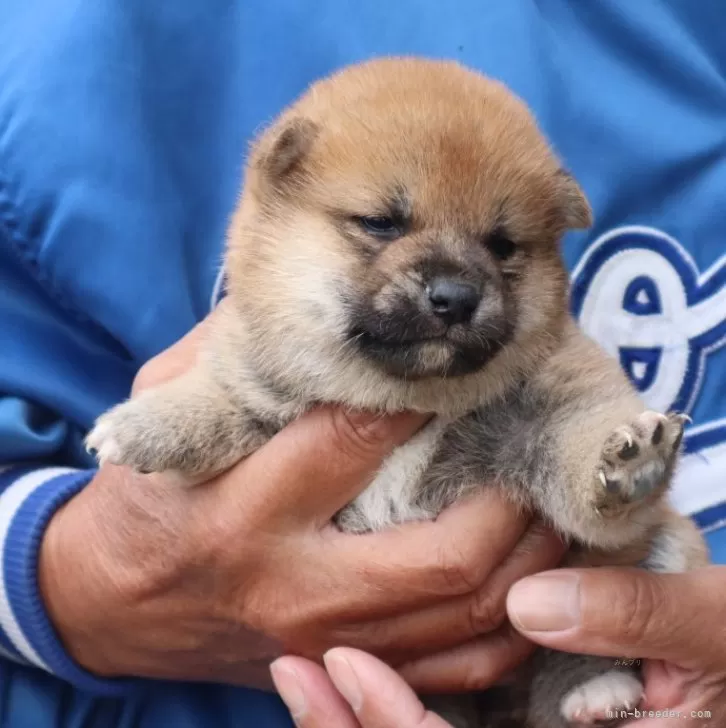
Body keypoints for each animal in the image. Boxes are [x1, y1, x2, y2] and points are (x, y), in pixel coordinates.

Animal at [86, 58, 712, 728]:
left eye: (501, 244)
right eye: (382, 223)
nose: (456, 297)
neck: (410, 398)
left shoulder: (551, 414)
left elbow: (580, 462)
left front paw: (633, 462)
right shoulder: (258, 387)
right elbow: (217, 400)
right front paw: (145, 425)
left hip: (663, 550)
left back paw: (594, 688)